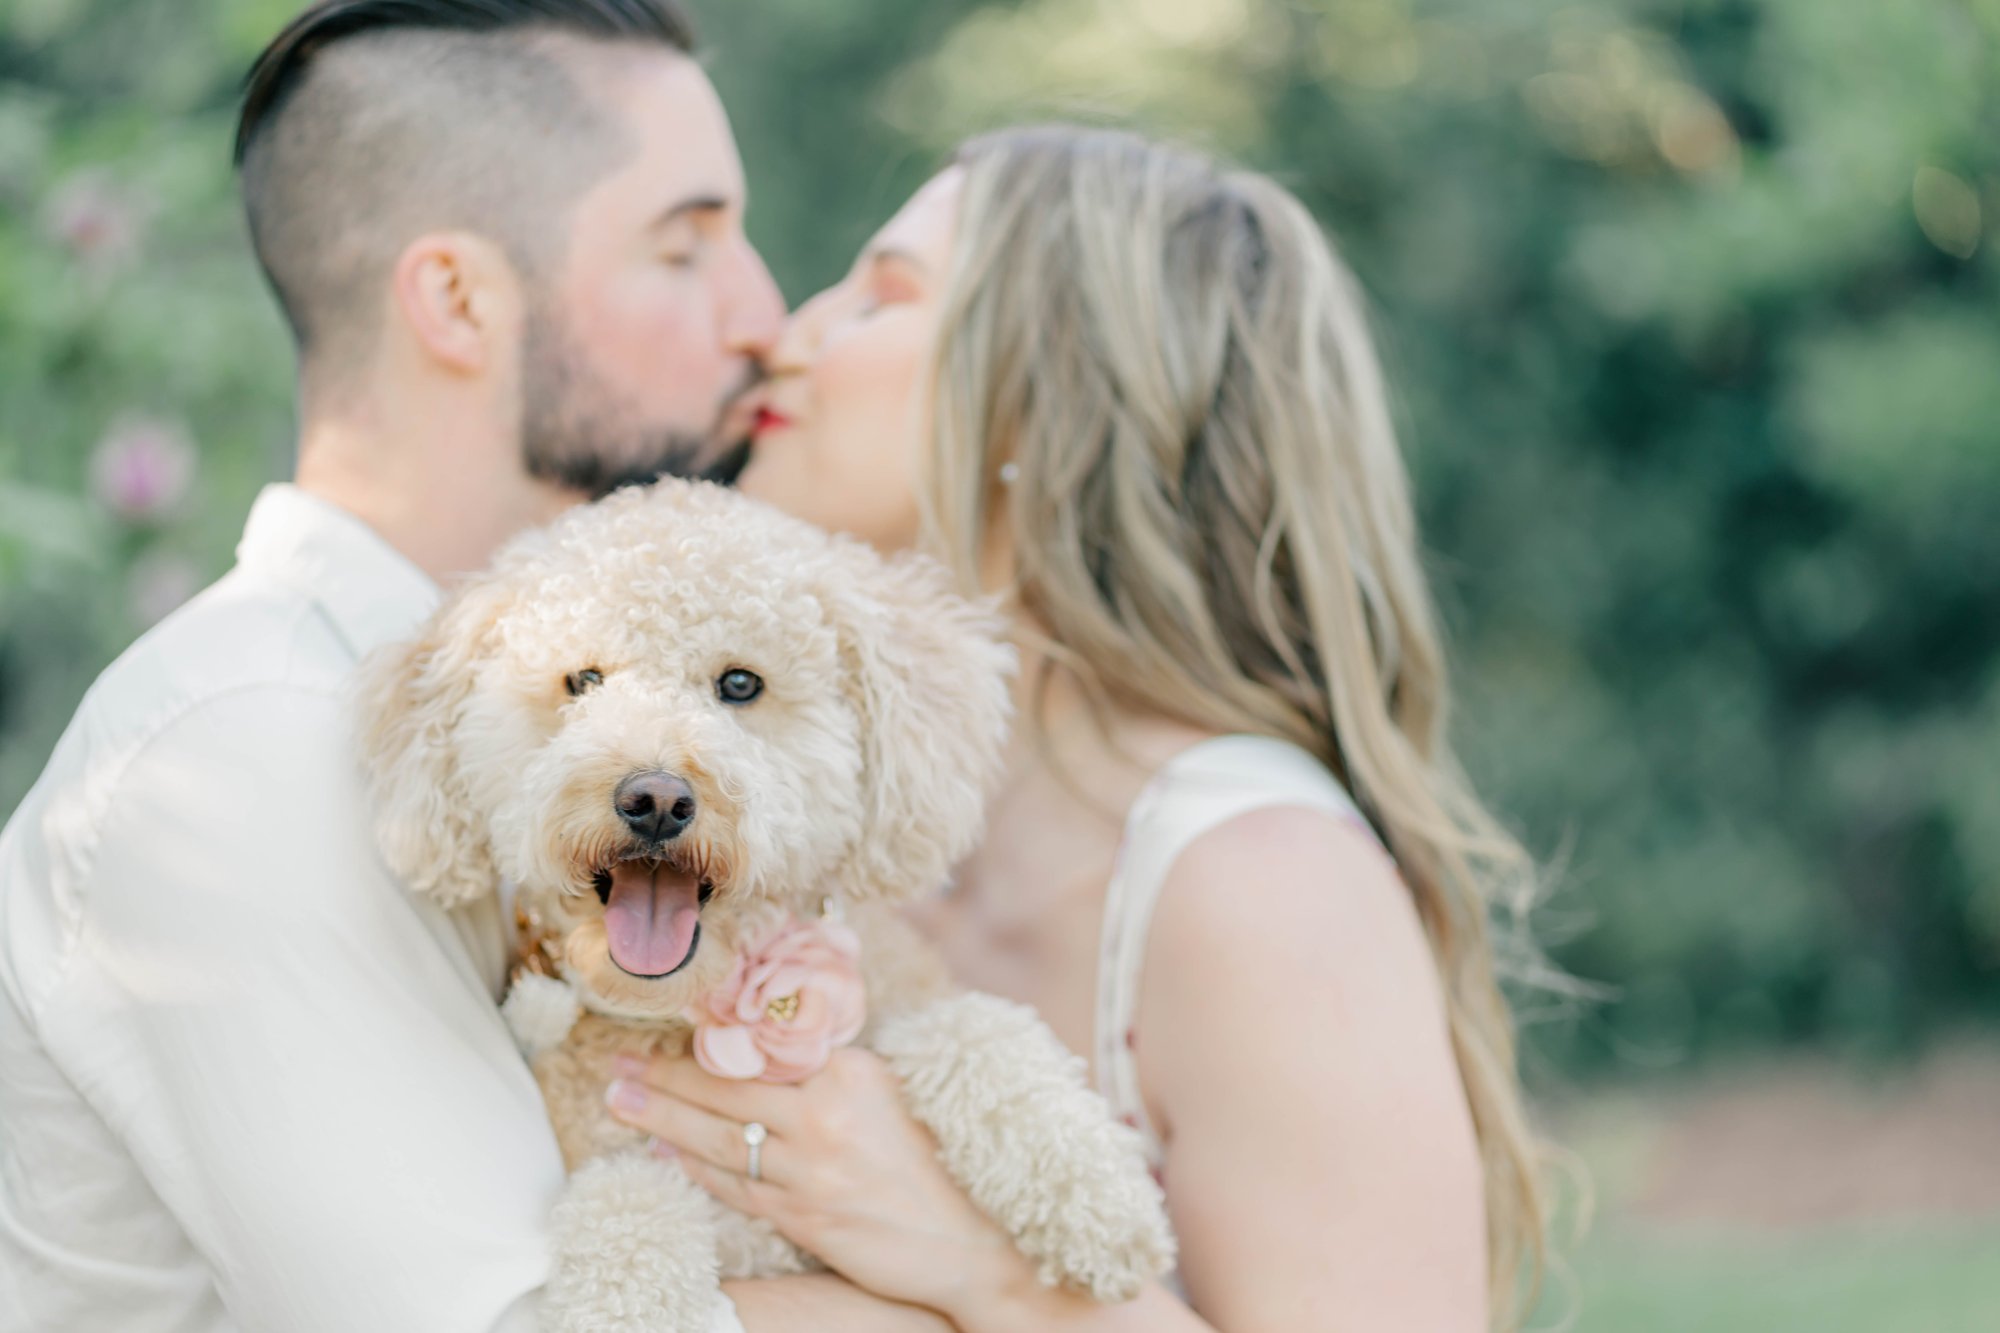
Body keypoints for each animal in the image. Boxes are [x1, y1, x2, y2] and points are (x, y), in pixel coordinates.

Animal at [358, 480, 1168, 1328]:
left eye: (740, 684)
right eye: (582, 683)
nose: (655, 798)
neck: (685, 1012)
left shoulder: (896, 987)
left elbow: (977, 1030)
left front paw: (1099, 1198)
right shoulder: (619, 1164)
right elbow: (625, 1210)